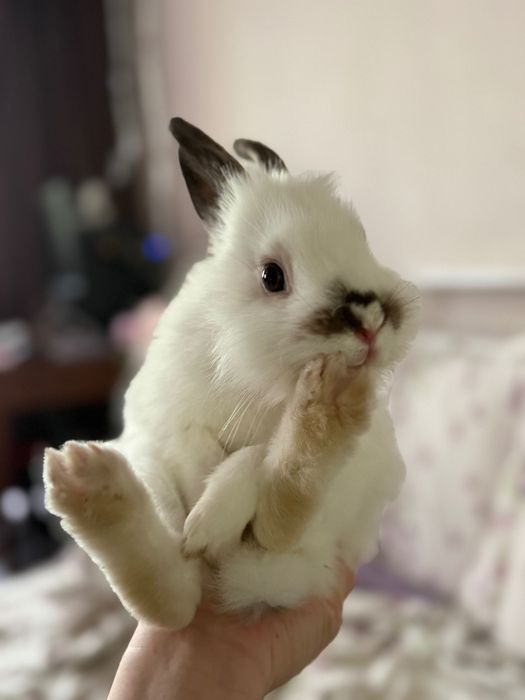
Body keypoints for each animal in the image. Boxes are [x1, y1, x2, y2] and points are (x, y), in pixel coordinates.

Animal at [43, 118, 420, 629]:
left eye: (362, 240)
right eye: (271, 276)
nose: (371, 322)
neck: (256, 378)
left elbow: (254, 457)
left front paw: (208, 524)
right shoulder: (155, 427)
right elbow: (188, 443)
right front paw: (199, 501)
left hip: (335, 516)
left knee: (278, 522)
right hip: (144, 467)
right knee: (174, 596)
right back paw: (90, 483)